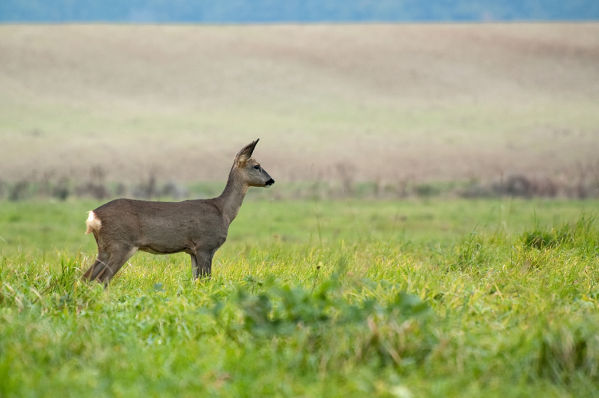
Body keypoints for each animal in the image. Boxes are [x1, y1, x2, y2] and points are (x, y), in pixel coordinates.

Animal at [82, 138, 274, 284]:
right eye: (257, 166)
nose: (271, 180)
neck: (223, 211)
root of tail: (94, 215)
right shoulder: (205, 245)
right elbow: (206, 280)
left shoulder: (192, 251)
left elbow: (196, 281)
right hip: (121, 244)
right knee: (102, 279)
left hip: (104, 248)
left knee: (86, 277)